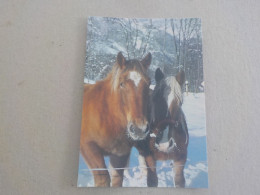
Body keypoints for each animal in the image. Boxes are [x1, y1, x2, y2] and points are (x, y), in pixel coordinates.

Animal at [80, 52, 151, 187]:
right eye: (122, 84)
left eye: (148, 84)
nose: (139, 129)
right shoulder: (88, 148)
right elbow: (103, 180)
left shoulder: (120, 154)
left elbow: (117, 180)